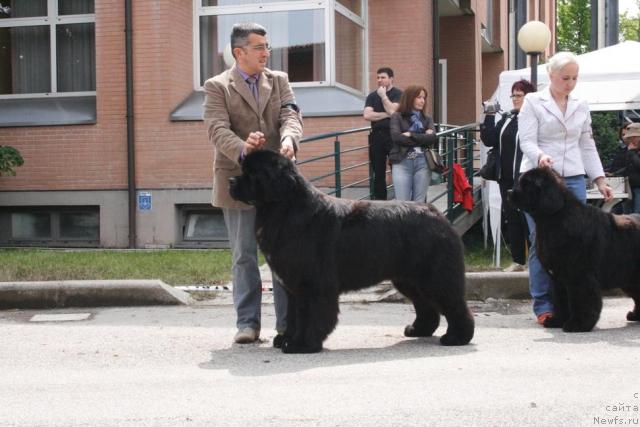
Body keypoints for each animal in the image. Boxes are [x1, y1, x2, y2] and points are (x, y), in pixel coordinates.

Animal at [230, 150, 476, 354]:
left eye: (251, 173)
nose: (231, 181)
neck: (286, 209)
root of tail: (438, 215)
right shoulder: (293, 286)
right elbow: (293, 316)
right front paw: (286, 339)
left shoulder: (312, 284)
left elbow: (309, 315)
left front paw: (302, 345)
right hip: (409, 279)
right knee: (426, 305)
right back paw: (419, 330)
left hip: (435, 277)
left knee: (454, 305)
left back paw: (457, 338)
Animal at [510, 166, 640, 332]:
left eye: (527, 185)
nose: (508, 192)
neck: (554, 219)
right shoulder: (558, 278)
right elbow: (561, 302)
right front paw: (557, 321)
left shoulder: (579, 275)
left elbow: (582, 301)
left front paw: (578, 324)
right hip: (629, 278)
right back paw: (636, 315)